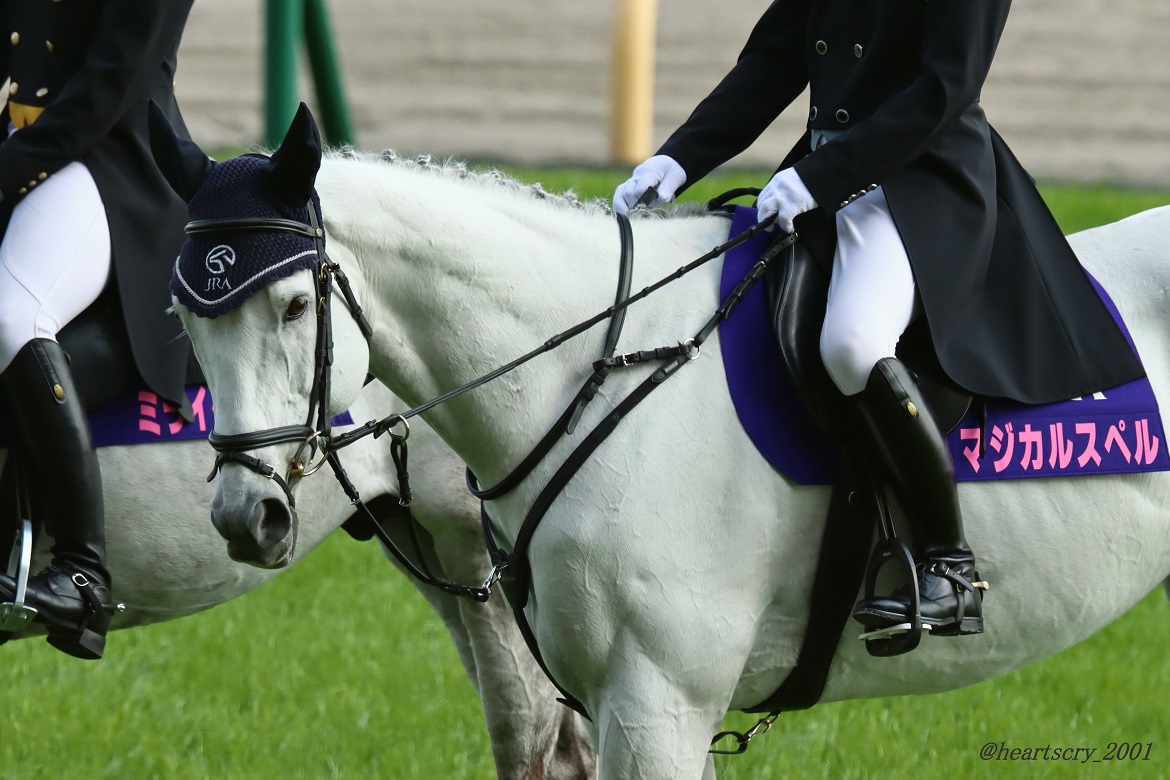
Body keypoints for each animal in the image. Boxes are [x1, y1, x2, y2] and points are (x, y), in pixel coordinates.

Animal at [155, 109, 1170, 780]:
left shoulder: (658, 704)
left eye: (295, 306)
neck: (593, 369)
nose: (246, 516)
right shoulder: (621, 705)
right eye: (183, 317)